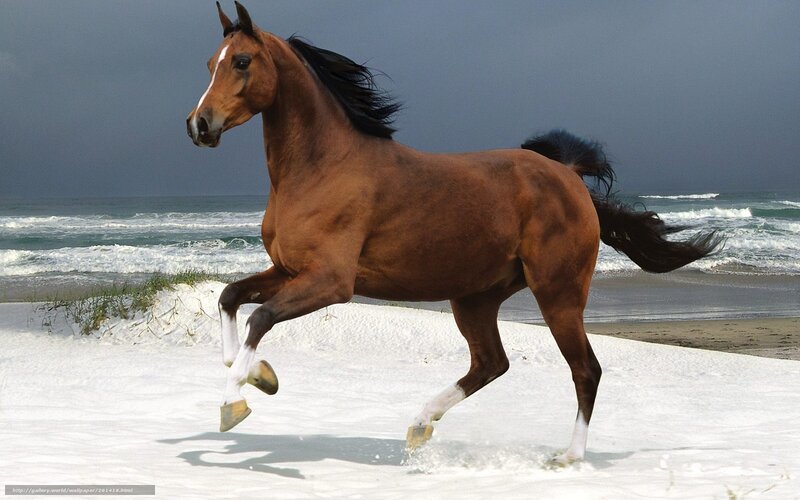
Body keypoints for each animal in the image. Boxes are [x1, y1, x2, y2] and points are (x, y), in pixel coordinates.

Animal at [186, 2, 720, 464]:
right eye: (210, 63)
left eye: (241, 61)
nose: (199, 125)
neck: (321, 167)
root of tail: (567, 175)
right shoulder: (288, 269)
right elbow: (231, 298)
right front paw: (259, 376)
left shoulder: (331, 282)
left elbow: (260, 318)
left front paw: (234, 403)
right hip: (476, 298)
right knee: (492, 363)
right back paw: (420, 424)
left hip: (558, 293)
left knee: (585, 370)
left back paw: (568, 457)